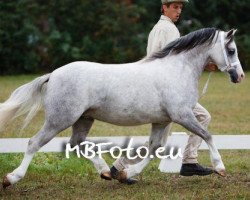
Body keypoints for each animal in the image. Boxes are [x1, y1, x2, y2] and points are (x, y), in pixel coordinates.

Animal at [0, 27, 244, 188]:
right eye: (231, 50)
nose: (240, 76)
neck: (177, 70)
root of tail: (53, 74)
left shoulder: (162, 120)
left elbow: (153, 148)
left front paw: (127, 174)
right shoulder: (182, 115)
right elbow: (207, 135)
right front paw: (220, 168)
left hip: (83, 119)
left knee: (77, 143)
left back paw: (106, 171)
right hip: (59, 119)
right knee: (34, 143)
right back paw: (11, 178)